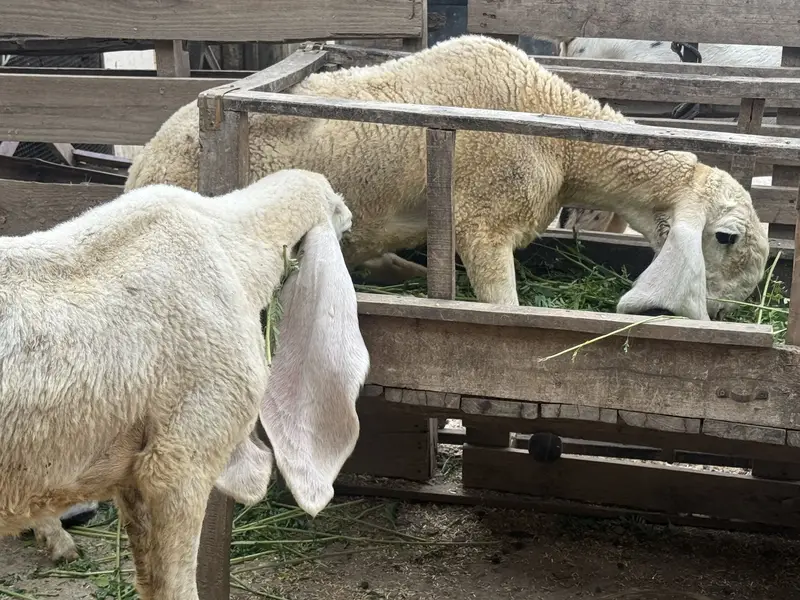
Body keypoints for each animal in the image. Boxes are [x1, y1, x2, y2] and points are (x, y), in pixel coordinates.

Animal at [0, 168, 370, 600]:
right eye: (339, 215)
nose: (354, 221)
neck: (230, 241)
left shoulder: (133, 473)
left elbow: (151, 583)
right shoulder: (181, 458)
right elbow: (177, 587)